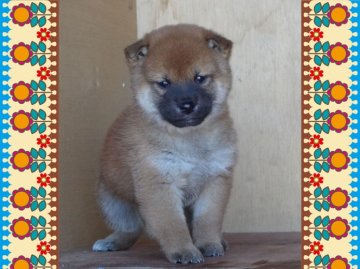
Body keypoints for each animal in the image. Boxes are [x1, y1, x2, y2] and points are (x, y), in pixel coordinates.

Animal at [94, 24, 238, 262]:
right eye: (164, 83)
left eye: (200, 78)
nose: (187, 104)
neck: (189, 140)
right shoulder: (159, 183)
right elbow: (173, 226)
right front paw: (184, 251)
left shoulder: (215, 180)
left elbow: (207, 221)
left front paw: (209, 243)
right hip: (113, 201)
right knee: (130, 228)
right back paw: (112, 242)